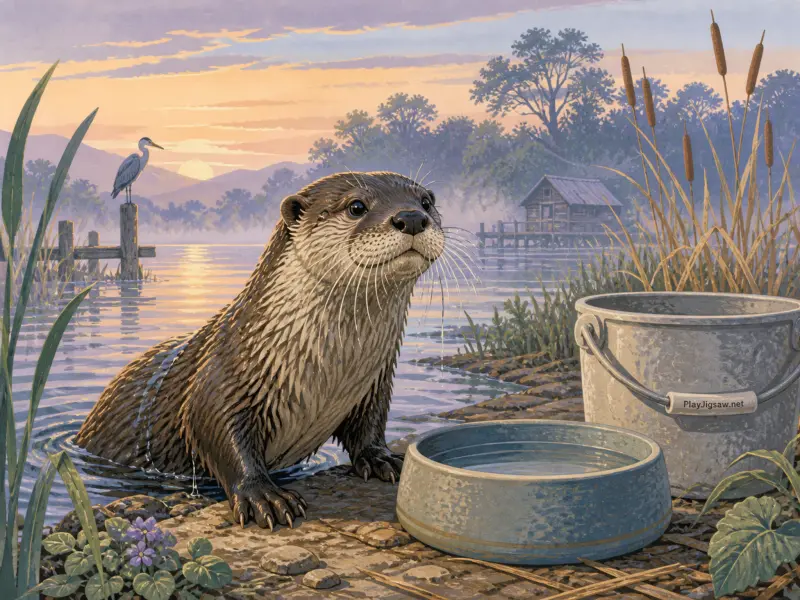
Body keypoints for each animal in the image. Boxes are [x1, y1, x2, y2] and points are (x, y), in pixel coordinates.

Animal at [75, 171, 444, 530]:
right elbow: (215, 428)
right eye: (356, 206)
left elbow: (370, 425)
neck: (330, 370)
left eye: (427, 201)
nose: (412, 217)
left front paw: (382, 458)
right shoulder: (222, 376)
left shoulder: (374, 383)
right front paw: (262, 495)